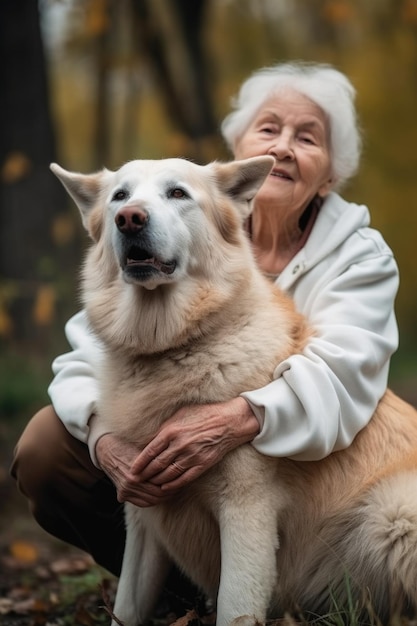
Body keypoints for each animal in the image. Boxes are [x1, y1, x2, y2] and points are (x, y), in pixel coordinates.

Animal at [52, 157, 417, 624]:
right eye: (120, 196)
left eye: (177, 193)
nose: (129, 218)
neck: (172, 347)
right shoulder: (141, 514)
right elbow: (127, 608)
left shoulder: (247, 511)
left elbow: (234, 607)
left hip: (392, 515)